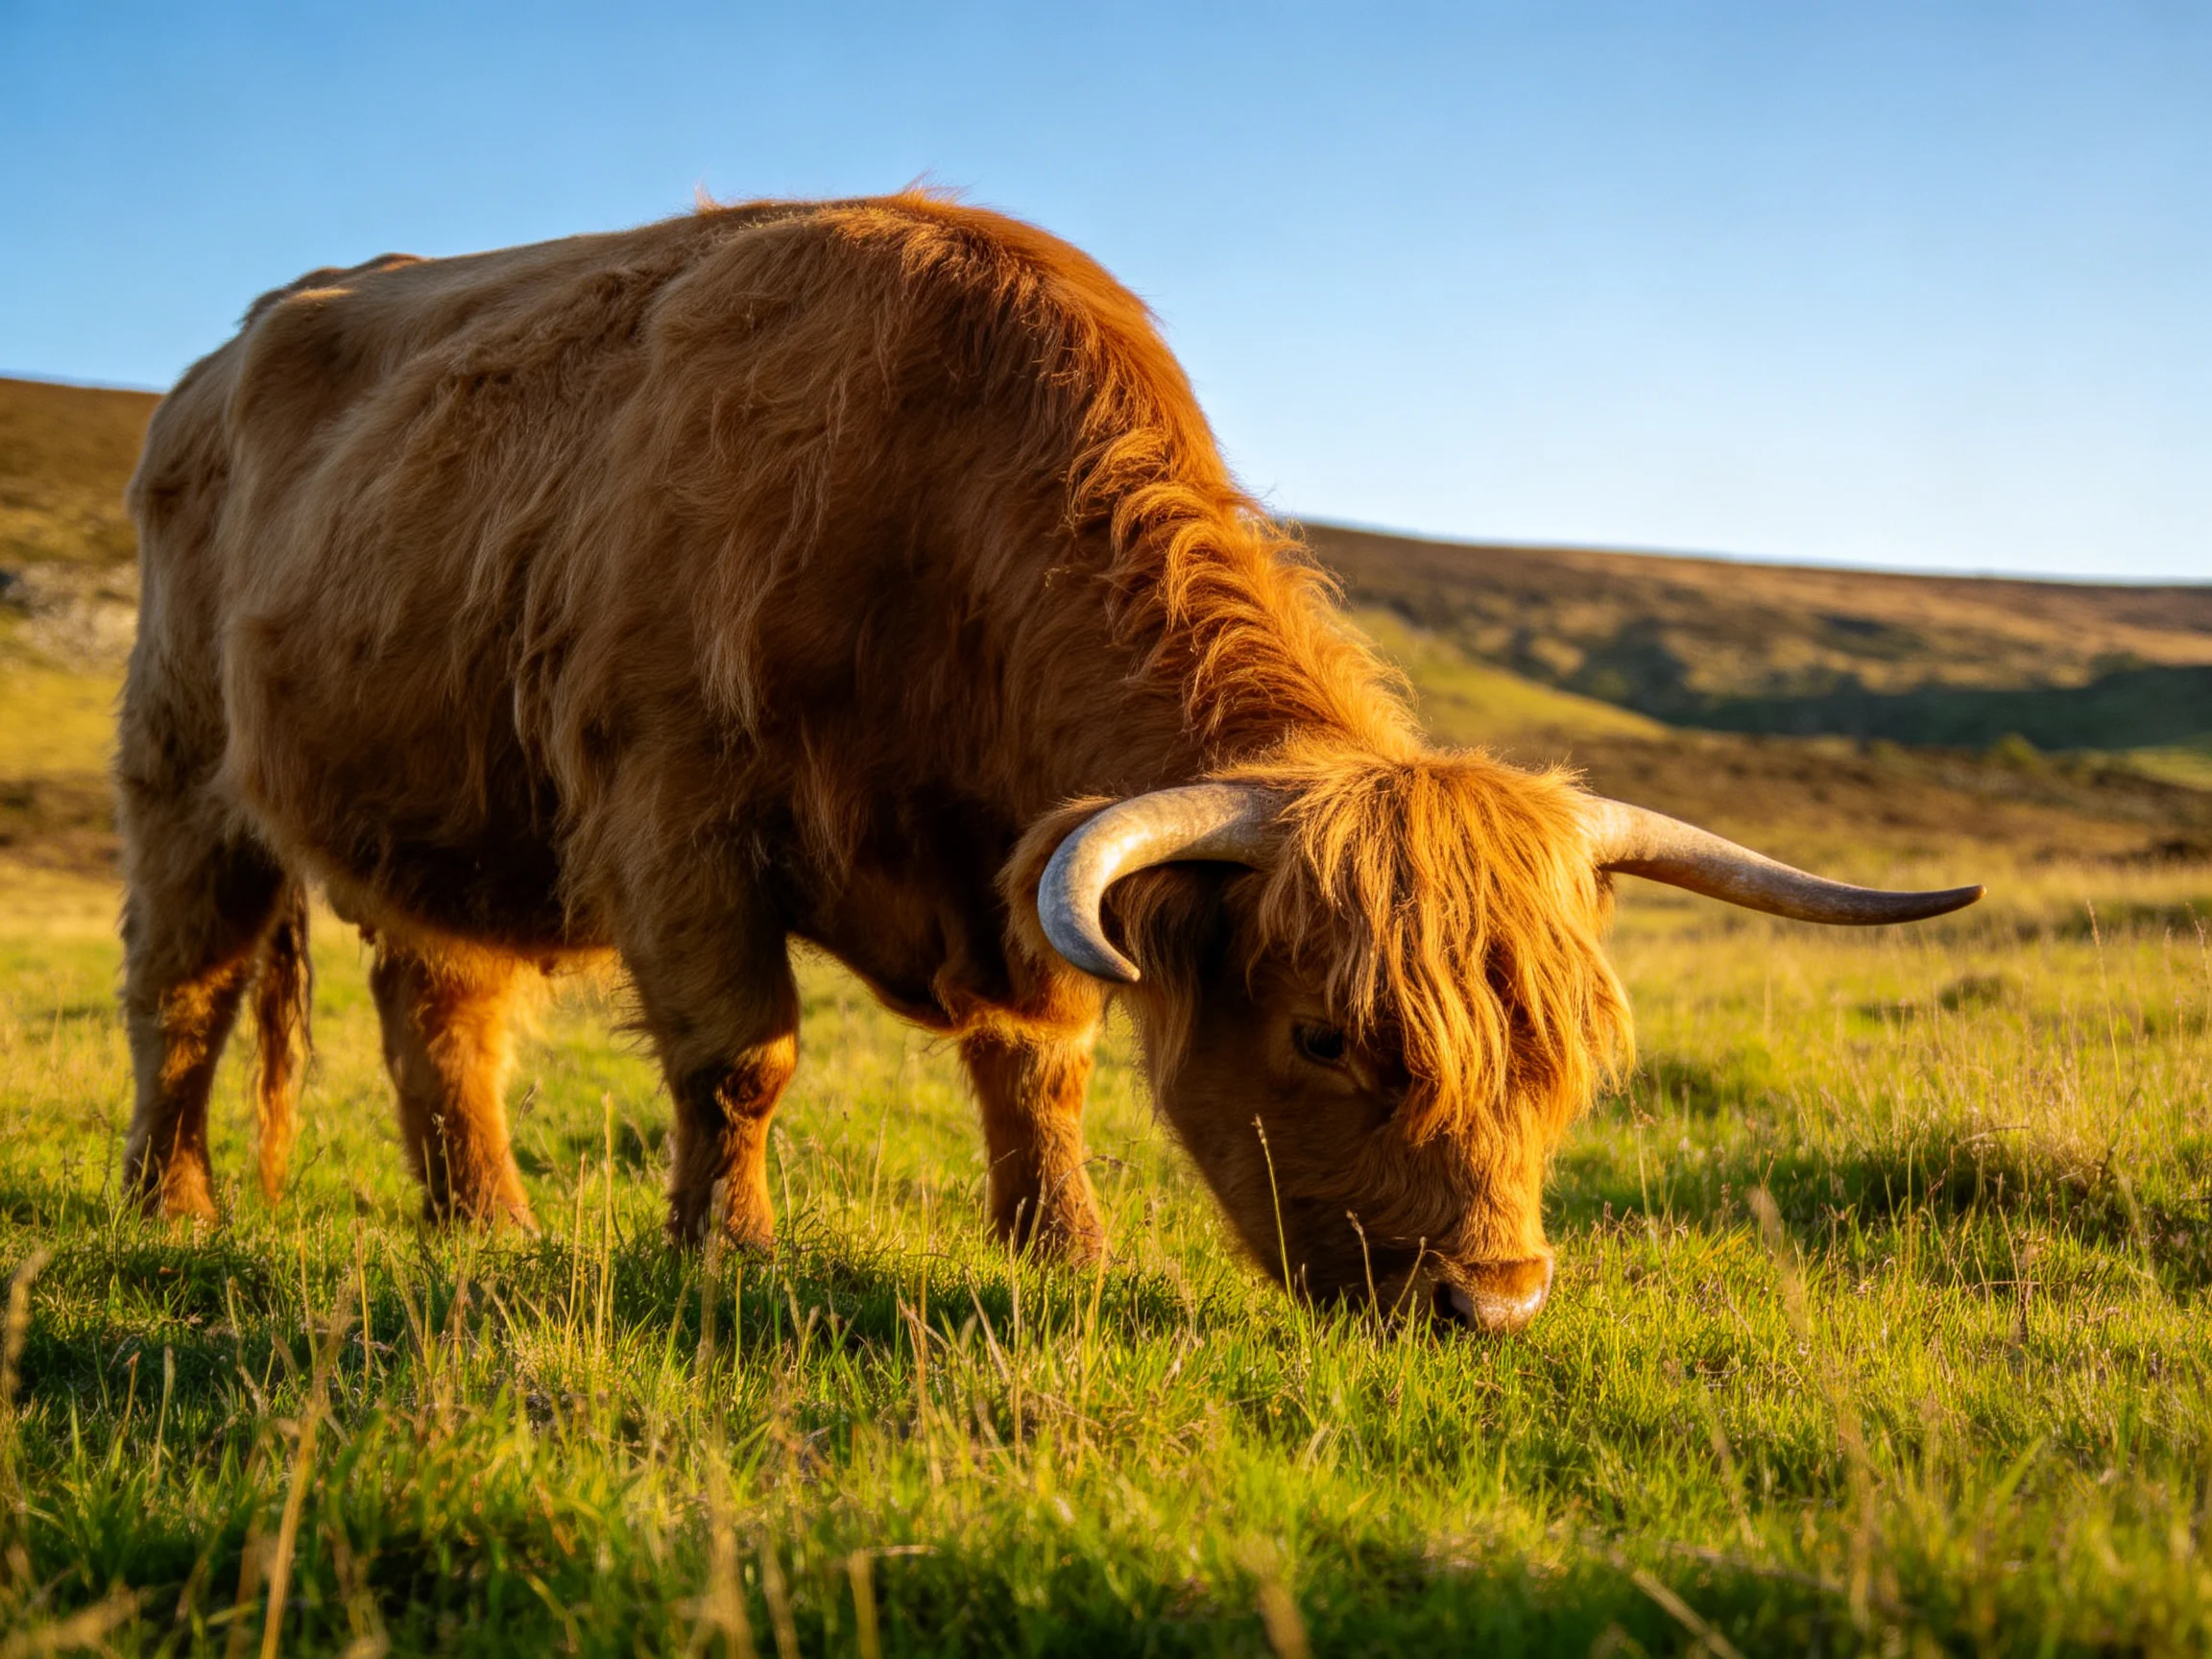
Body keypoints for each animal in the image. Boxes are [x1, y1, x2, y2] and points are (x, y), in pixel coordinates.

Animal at [118, 192, 1980, 1331]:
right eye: (1327, 1036)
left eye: (1564, 1053)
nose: (1495, 1296)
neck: (914, 504)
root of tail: (219, 360)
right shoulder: (671, 809)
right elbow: (742, 1059)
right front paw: (727, 1256)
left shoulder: (1019, 863)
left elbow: (1041, 1067)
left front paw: (1060, 1248)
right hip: (183, 770)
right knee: (186, 996)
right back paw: (174, 1207)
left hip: (433, 813)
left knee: (444, 1011)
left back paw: (484, 1225)